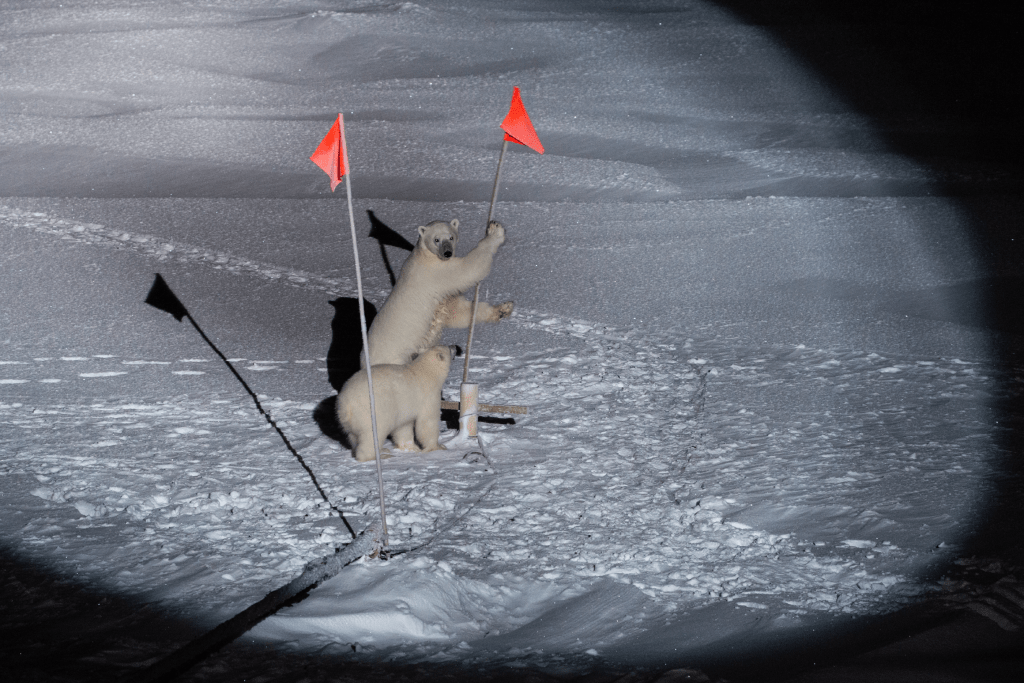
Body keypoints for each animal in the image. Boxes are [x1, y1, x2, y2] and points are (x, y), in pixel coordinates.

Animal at [364, 219, 513, 367]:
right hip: (394, 357)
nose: (447, 253)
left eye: (451, 237)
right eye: (436, 239)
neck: (425, 254)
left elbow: (459, 312)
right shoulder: (436, 272)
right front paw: (496, 231)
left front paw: (503, 309)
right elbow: (468, 269)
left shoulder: (443, 298)